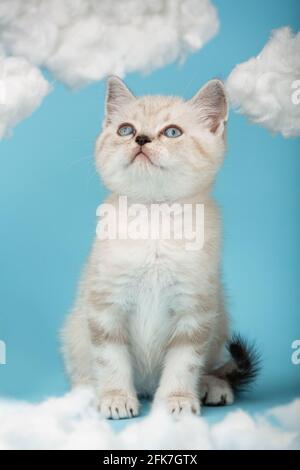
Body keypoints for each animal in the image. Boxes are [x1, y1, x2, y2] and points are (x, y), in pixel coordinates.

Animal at [61, 76, 258, 418]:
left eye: (172, 132)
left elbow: (184, 362)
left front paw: (177, 400)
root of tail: (146, 387)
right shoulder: (105, 305)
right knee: (83, 372)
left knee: (209, 367)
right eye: (125, 130)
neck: (154, 217)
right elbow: (110, 359)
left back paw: (212, 385)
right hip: (74, 329)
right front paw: (115, 397)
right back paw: (87, 393)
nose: (140, 138)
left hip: (220, 317)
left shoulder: (195, 310)